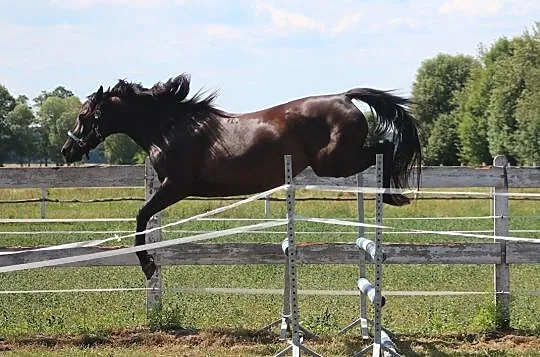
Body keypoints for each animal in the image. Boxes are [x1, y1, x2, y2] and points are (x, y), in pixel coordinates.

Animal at [61, 73, 420, 280]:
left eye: (84, 115)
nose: (67, 150)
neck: (170, 127)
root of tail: (345, 97)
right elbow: (145, 218)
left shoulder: (175, 186)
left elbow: (141, 215)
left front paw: (148, 266)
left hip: (334, 163)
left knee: (385, 146)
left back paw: (393, 194)